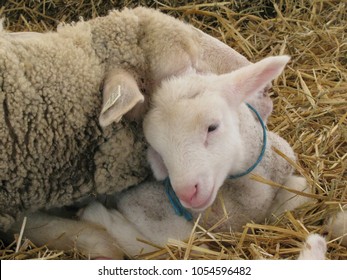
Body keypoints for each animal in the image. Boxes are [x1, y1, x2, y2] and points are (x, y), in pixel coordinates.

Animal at [77, 55, 346, 260]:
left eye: (212, 127)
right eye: (157, 150)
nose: (187, 193)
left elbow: (303, 190)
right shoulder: (144, 207)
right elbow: (174, 241)